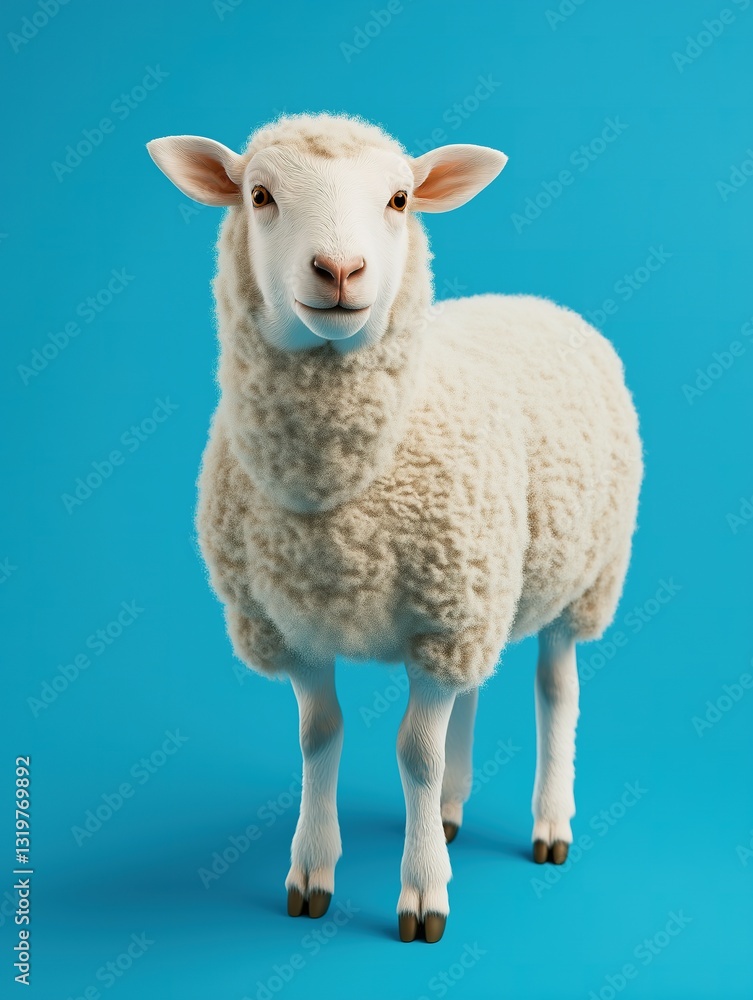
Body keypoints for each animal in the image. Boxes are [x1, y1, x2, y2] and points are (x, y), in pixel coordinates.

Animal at [147, 112, 643, 944]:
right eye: (258, 195)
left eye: (400, 199)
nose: (339, 270)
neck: (337, 495)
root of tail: (535, 300)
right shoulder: (295, 624)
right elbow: (321, 735)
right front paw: (311, 871)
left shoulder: (441, 620)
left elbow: (415, 753)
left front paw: (422, 893)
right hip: (481, 587)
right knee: (474, 692)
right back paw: (447, 814)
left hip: (577, 579)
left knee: (554, 689)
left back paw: (549, 822)